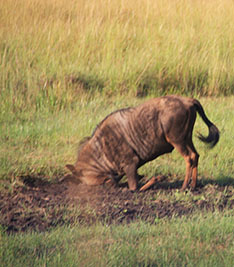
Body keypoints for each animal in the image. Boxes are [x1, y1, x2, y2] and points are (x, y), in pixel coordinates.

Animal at [66, 95, 219, 192]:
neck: (101, 149)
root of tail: (188, 101)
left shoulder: (131, 164)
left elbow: (135, 188)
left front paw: (158, 178)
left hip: (177, 140)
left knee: (189, 157)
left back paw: (184, 186)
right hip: (187, 139)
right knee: (196, 155)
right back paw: (193, 185)